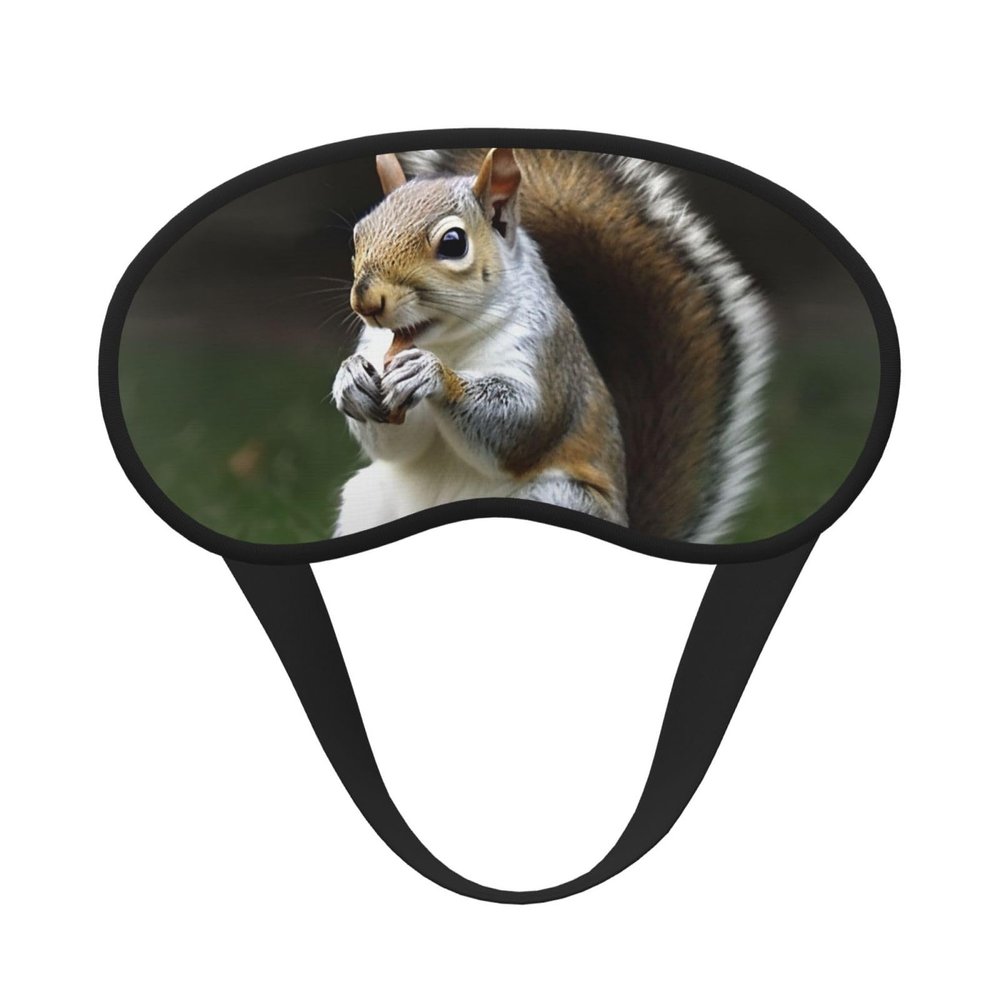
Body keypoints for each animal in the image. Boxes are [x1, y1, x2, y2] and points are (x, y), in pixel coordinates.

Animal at [331, 147, 772, 543]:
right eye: (357, 235)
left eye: (454, 243)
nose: (366, 302)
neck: (449, 342)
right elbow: (401, 444)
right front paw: (350, 379)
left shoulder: (546, 355)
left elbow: (524, 424)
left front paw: (433, 375)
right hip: (366, 500)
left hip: (556, 496)